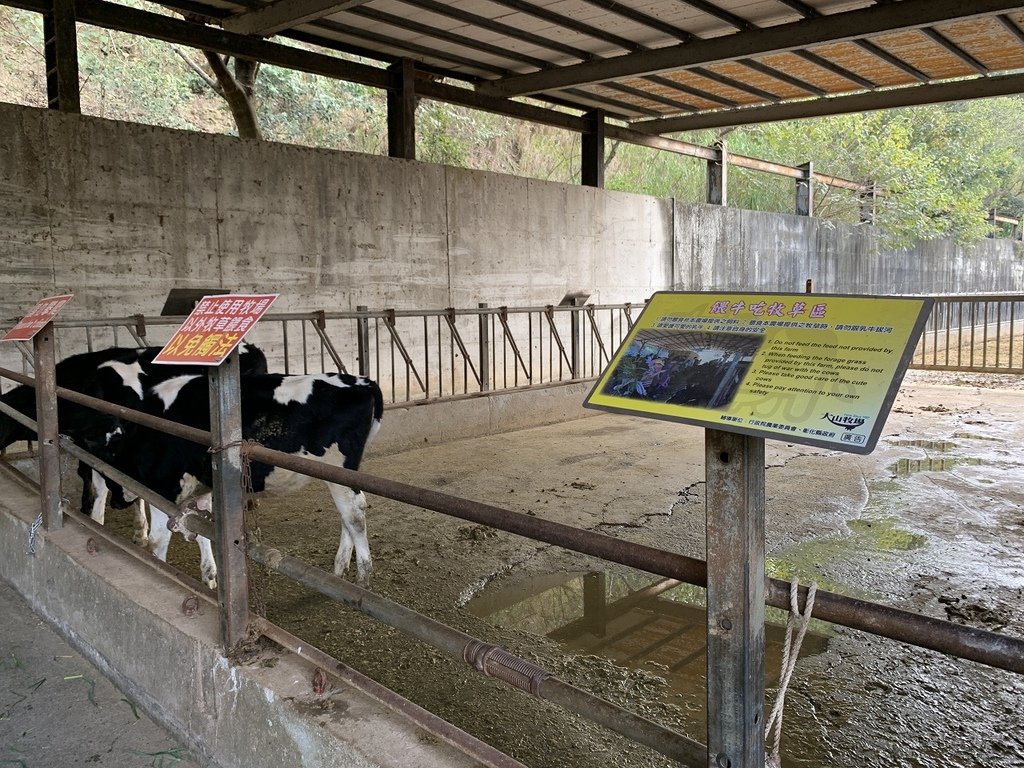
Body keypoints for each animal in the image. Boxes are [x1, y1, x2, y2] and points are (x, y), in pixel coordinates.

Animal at [100, 370, 385, 585]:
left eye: (110, 468)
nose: (115, 503)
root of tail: (362, 381)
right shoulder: (202, 486)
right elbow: (202, 529)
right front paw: (209, 576)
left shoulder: (164, 486)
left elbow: (158, 540)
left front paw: (158, 569)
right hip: (340, 474)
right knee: (347, 514)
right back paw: (339, 570)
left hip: (338, 467)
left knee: (354, 514)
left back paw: (363, 577)